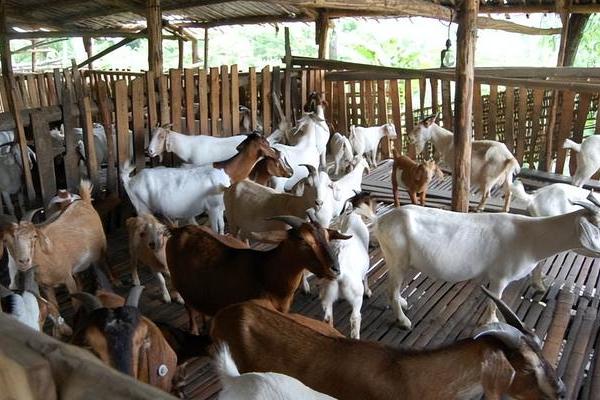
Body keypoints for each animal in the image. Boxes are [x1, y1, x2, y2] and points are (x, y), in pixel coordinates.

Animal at [122, 133, 276, 233]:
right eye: (266, 143)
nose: (277, 154)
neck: (226, 170)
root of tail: (130, 180)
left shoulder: (220, 208)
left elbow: (221, 228)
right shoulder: (212, 208)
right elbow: (216, 229)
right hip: (142, 208)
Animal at [165, 214, 352, 318]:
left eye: (327, 236)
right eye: (301, 239)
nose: (335, 269)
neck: (264, 271)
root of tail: (177, 231)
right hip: (181, 286)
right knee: (190, 310)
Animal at [322, 202, 372, 340]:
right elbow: (366, 275)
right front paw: (368, 292)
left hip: (327, 294)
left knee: (328, 317)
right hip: (356, 296)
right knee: (355, 318)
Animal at [368, 193, 600, 328]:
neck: (530, 236)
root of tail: (381, 220)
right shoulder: (500, 277)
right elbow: (494, 301)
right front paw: (491, 322)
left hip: (395, 259)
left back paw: (403, 302)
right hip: (397, 258)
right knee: (391, 289)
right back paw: (403, 321)